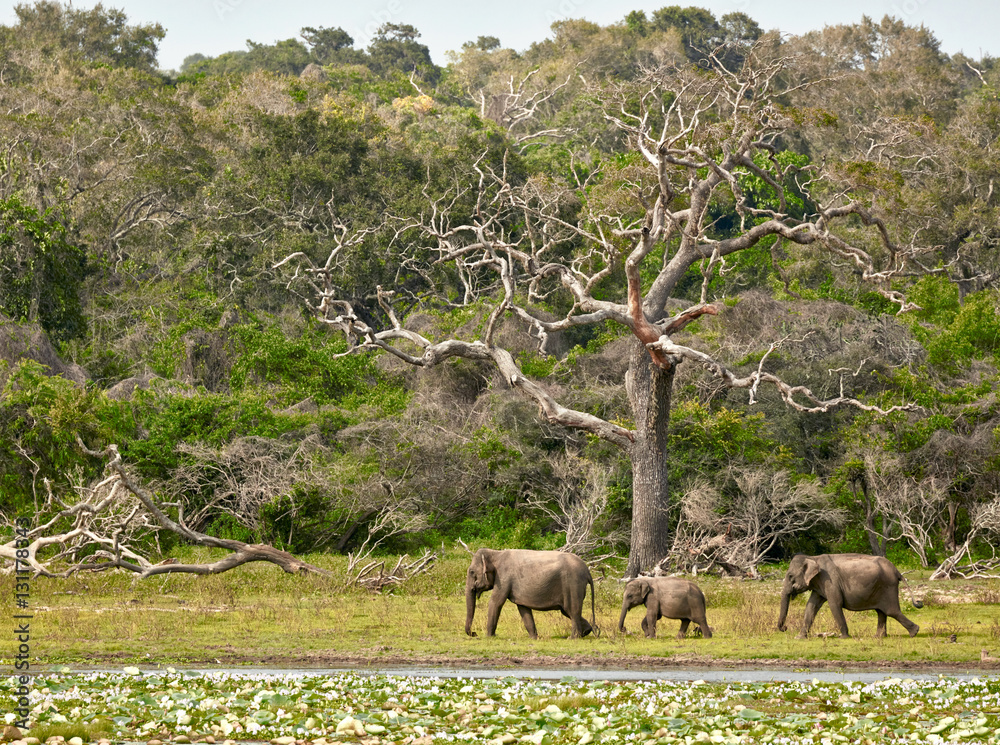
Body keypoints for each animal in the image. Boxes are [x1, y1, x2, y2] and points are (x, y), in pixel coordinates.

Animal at [464, 548, 597, 639]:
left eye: (471, 572)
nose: (475, 633)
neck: (496, 553)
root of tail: (587, 571)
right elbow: (523, 608)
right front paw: (534, 638)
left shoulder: (503, 578)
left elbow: (496, 602)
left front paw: (489, 637)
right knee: (567, 611)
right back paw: (585, 632)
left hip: (573, 585)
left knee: (572, 610)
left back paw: (572, 637)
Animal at [776, 553, 922, 639]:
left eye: (790, 576)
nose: (784, 628)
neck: (813, 558)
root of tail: (897, 571)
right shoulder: (820, 584)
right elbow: (811, 606)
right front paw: (799, 637)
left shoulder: (830, 581)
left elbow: (835, 604)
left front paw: (844, 637)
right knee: (881, 611)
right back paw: (878, 637)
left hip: (888, 586)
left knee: (891, 611)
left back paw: (914, 632)